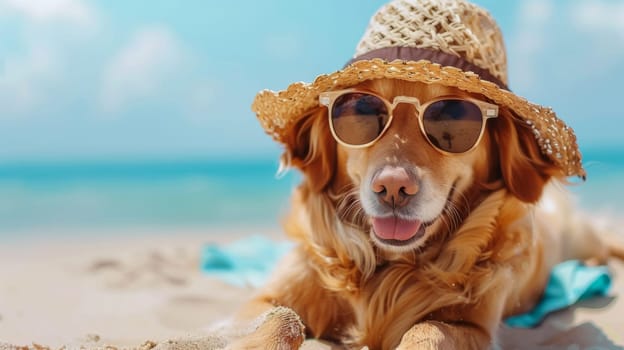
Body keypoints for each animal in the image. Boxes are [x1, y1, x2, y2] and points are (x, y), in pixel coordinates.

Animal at [228, 78, 624, 348]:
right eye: (360, 111)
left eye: (452, 118)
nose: (392, 187)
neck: (388, 267)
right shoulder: (266, 297)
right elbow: (280, 318)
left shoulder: (474, 327)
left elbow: (427, 329)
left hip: (582, 237)